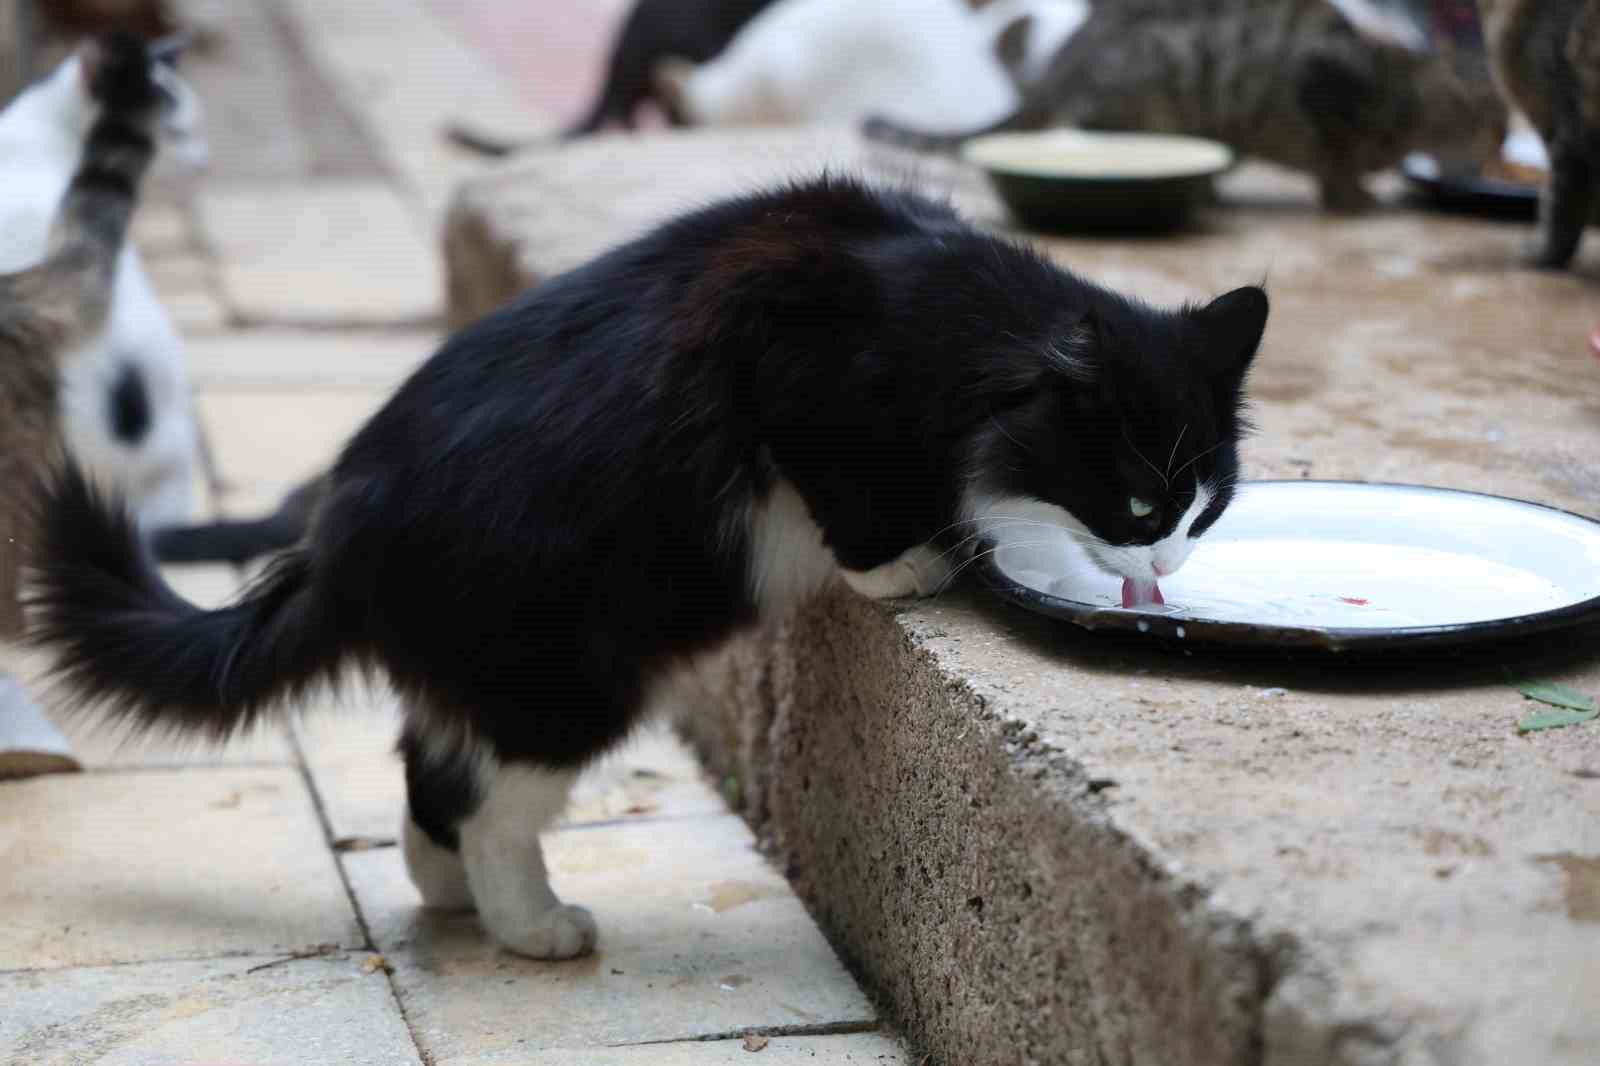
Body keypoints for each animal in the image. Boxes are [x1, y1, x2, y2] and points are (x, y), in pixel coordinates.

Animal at [28, 174, 1260, 953]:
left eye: (1204, 510)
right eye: (1139, 501)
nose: (1162, 560)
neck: (947, 316)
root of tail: (334, 533)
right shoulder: (785, 357)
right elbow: (842, 488)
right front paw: (898, 564)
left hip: (490, 668)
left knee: (433, 778)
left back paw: (454, 897)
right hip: (566, 673)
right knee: (491, 803)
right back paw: (533, 927)